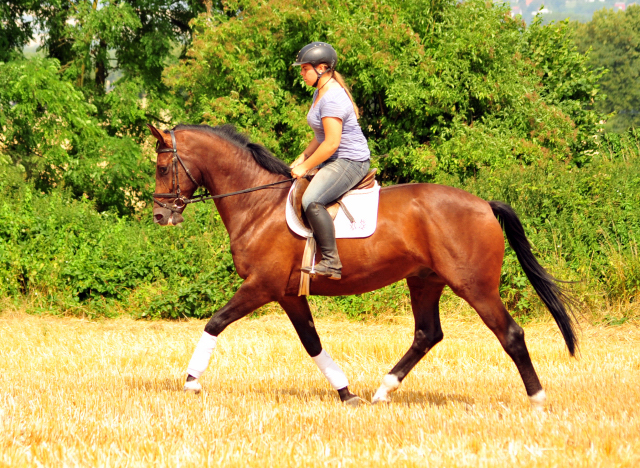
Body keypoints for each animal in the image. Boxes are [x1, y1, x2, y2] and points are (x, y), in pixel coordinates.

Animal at [148, 122, 576, 408]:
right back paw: (383, 391)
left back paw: (537, 399)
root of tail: (485, 205)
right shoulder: (288, 294)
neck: (259, 205)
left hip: (474, 286)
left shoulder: (261, 286)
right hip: (425, 281)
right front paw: (346, 393)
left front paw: (191, 381)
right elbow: (312, 343)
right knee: (427, 334)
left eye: (162, 167)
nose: (159, 215)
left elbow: (215, 322)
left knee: (510, 334)